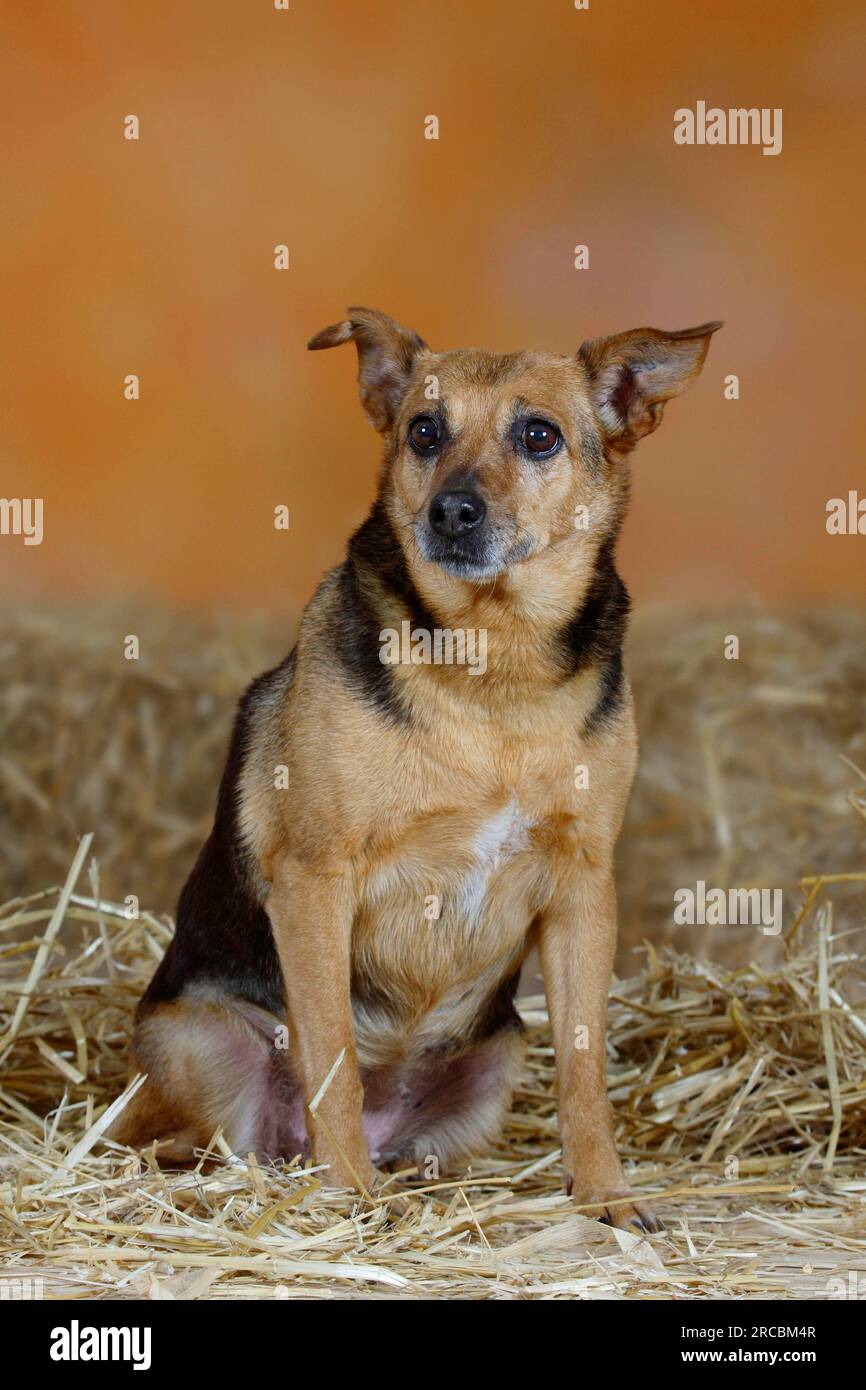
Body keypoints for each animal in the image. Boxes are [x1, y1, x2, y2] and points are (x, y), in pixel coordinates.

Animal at [111, 307, 717, 1228]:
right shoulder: (315, 879)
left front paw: (606, 1193)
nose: (451, 512)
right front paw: (350, 1199)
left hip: (496, 1059)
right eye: (424, 432)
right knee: (196, 1139)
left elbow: (585, 1074)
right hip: (198, 1040)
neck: (493, 665)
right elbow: (332, 1058)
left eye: (539, 436)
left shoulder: (585, 887)